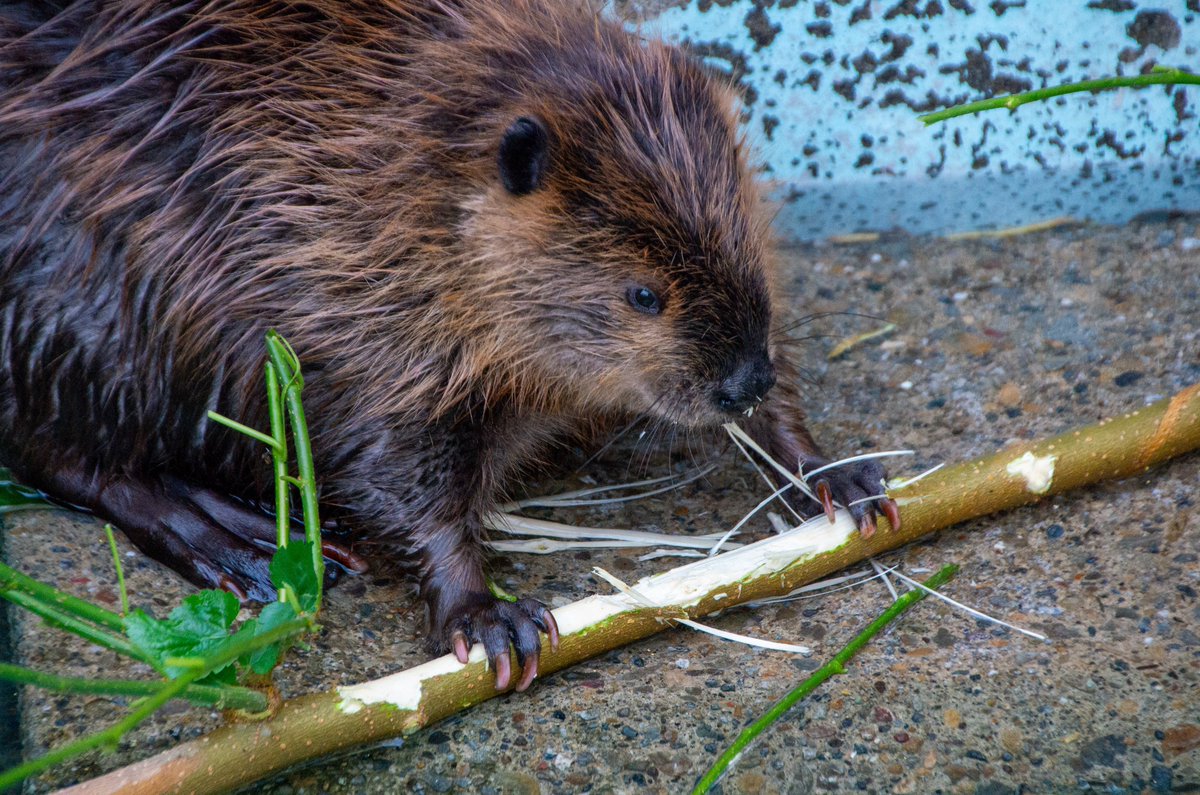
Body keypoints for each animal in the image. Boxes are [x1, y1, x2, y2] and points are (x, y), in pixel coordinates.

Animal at [0, 0, 902, 691]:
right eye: (644, 293)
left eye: (746, 230)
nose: (741, 379)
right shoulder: (357, 312)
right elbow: (393, 471)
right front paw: (493, 618)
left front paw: (843, 477)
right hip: (86, 308)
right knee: (65, 454)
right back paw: (235, 539)